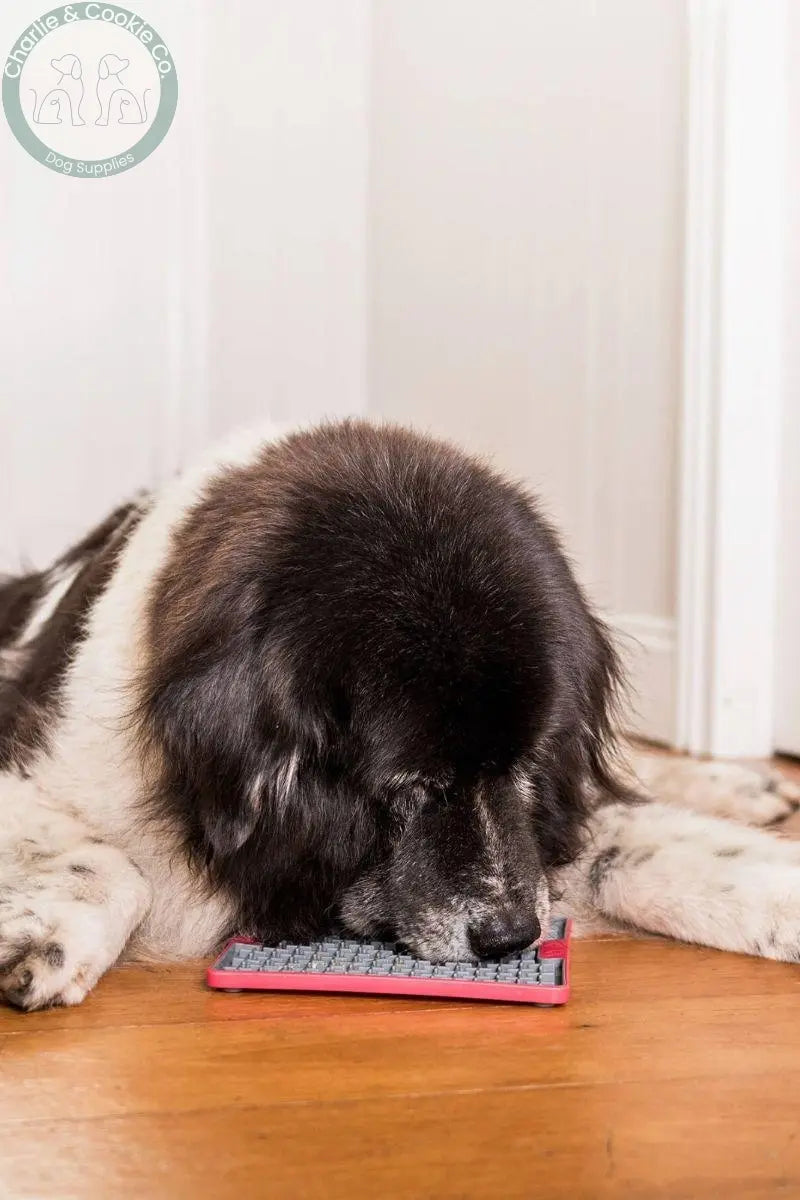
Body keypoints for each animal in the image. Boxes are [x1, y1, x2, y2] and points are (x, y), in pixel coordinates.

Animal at [1, 417, 800, 1008]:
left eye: (529, 761)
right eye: (411, 785)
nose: (510, 937)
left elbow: (636, 844)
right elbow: (115, 865)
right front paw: (44, 939)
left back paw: (744, 784)